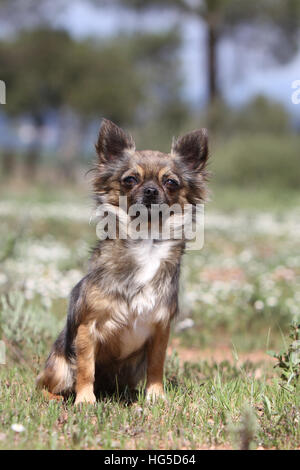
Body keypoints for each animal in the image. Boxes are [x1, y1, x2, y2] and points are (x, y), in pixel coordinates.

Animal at [36, 118, 207, 404]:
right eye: (130, 179)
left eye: (171, 182)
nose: (150, 190)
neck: (146, 241)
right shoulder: (87, 328)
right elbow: (85, 368)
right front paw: (85, 400)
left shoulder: (160, 329)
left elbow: (156, 365)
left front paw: (155, 396)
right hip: (59, 365)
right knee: (46, 384)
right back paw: (60, 398)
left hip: (131, 367)